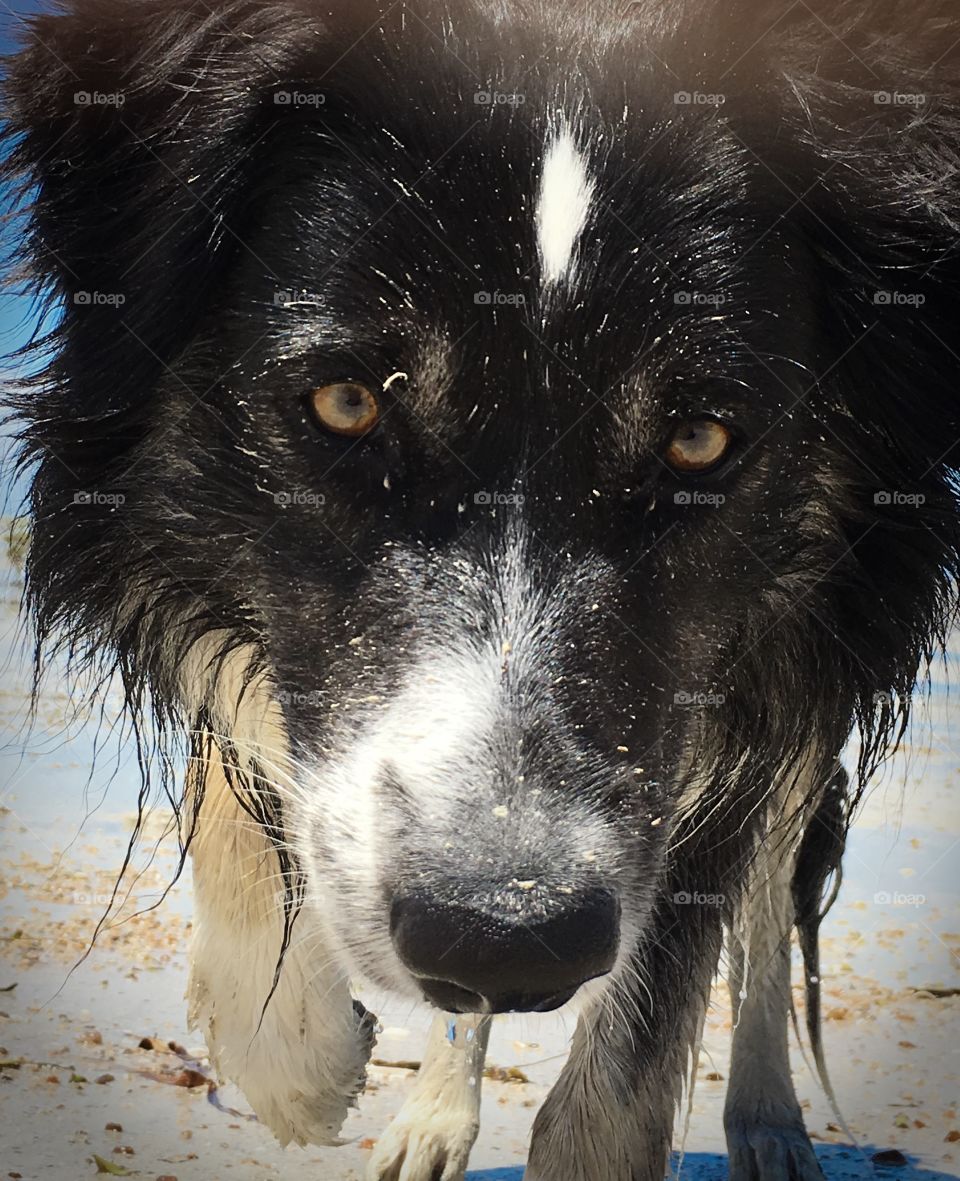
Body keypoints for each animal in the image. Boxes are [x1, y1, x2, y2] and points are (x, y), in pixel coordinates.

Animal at [1, 2, 958, 1181]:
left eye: (700, 439)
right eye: (349, 402)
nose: (508, 936)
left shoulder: (764, 674)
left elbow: (627, 1073)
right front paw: (309, 1060)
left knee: (771, 903)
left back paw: (768, 1118)